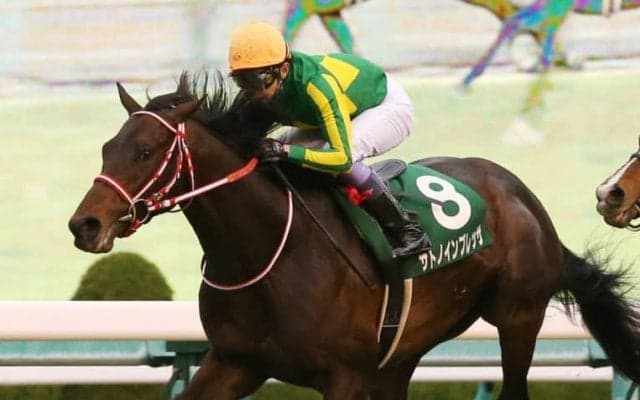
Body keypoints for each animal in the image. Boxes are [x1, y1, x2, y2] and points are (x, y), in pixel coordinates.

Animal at [68, 72, 640, 399]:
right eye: (106, 148)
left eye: (145, 152)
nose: (85, 224)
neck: (264, 251)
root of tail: (521, 193)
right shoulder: (235, 362)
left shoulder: (344, 375)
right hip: (401, 356)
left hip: (518, 316)